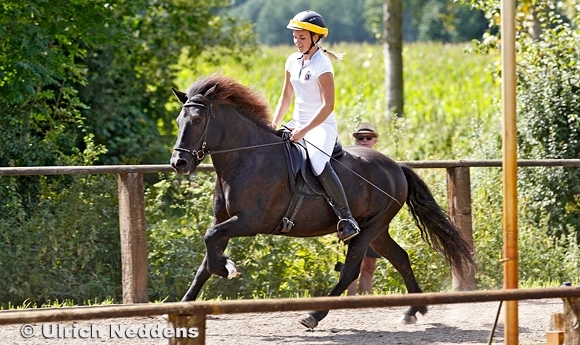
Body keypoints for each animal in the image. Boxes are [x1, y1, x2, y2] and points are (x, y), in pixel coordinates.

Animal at [169, 75, 476, 328]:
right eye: (178, 122)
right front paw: (186, 303)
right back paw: (413, 310)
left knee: (350, 271)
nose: (179, 163)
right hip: (377, 231)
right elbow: (205, 260)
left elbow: (210, 241)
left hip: (367, 230)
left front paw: (225, 268)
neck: (245, 156)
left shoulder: (249, 221)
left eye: (197, 121)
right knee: (400, 257)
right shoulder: (225, 220)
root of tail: (396, 167)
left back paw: (314, 316)